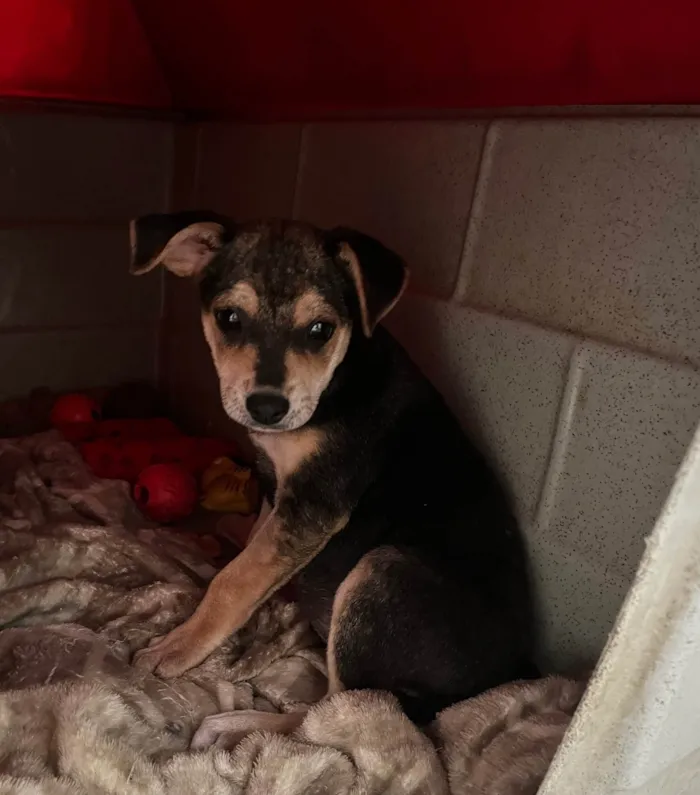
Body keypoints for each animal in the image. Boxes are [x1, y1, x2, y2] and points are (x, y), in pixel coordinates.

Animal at [131, 215, 532, 724]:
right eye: (229, 319)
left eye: (320, 329)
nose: (266, 408)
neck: (336, 381)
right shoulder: (278, 492)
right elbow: (255, 552)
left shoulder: (315, 505)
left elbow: (234, 580)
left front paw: (178, 647)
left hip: (381, 574)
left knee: (343, 712)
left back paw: (242, 723)